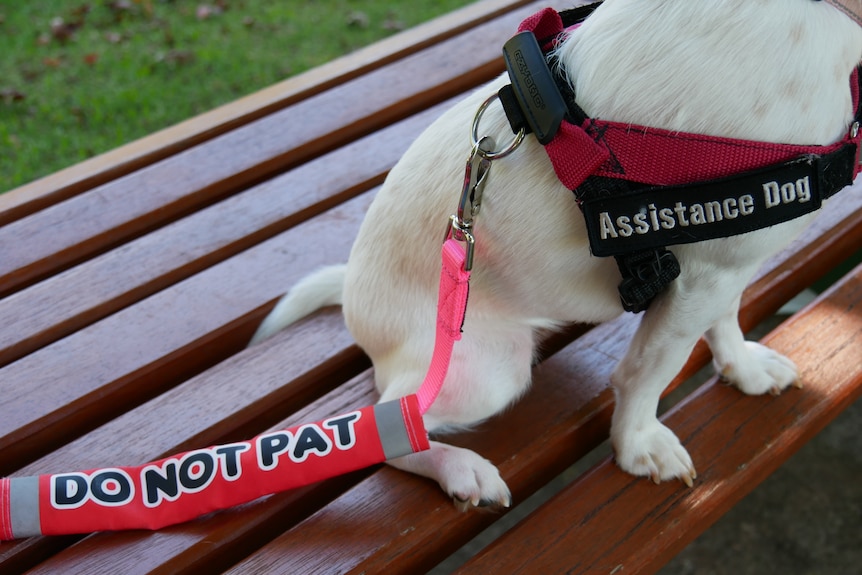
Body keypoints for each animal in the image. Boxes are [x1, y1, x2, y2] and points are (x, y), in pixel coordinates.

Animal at [251, 2, 862, 510]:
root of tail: (352, 290)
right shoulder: (704, 274)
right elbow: (649, 370)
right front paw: (638, 444)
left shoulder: (724, 265)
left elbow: (724, 321)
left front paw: (742, 367)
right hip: (492, 368)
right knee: (391, 424)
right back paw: (460, 469)